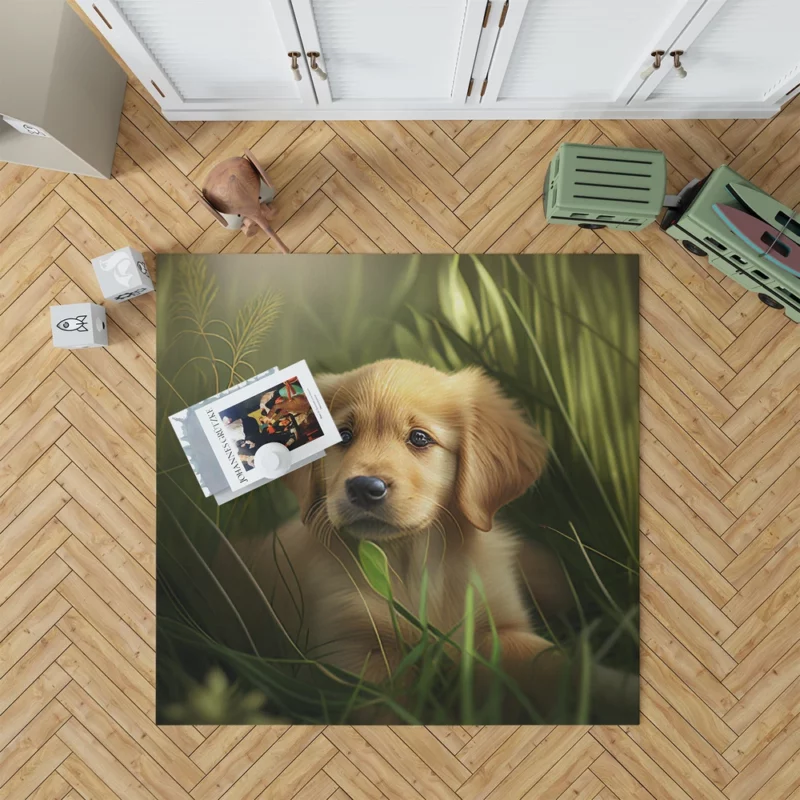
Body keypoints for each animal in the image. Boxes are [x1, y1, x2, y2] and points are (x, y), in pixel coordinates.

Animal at [228, 360, 580, 716]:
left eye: (419, 438)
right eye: (344, 436)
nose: (364, 487)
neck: (412, 561)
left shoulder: (500, 623)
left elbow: (547, 660)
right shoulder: (351, 650)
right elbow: (389, 706)